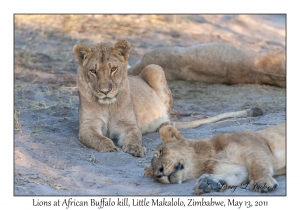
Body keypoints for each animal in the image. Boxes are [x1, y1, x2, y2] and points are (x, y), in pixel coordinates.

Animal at [74, 40, 264, 157]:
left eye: (113, 69)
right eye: (93, 71)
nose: (105, 91)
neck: (107, 105)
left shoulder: (128, 125)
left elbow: (134, 136)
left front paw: (135, 148)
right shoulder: (87, 127)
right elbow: (98, 138)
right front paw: (109, 147)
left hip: (154, 68)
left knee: (169, 118)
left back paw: (163, 125)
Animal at [145, 124, 286, 194]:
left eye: (160, 153)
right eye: (153, 174)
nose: (159, 173)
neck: (208, 159)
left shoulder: (255, 148)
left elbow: (258, 165)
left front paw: (262, 183)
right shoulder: (236, 167)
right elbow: (235, 174)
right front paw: (208, 183)